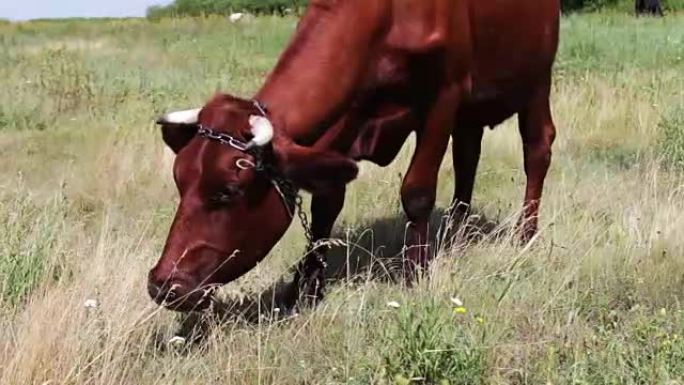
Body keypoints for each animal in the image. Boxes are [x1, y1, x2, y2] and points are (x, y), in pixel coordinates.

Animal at [150, 0, 560, 310]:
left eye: (227, 191)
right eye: (179, 180)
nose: (161, 285)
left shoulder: (446, 93)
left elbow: (417, 191)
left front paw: (414, 274)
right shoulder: (347, 116)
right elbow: (326, 203)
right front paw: (306, 284)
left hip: (537, 77)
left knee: (537, 149)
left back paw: (525, 234)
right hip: (471, 112)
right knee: (467, 154)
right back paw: (458, 229)